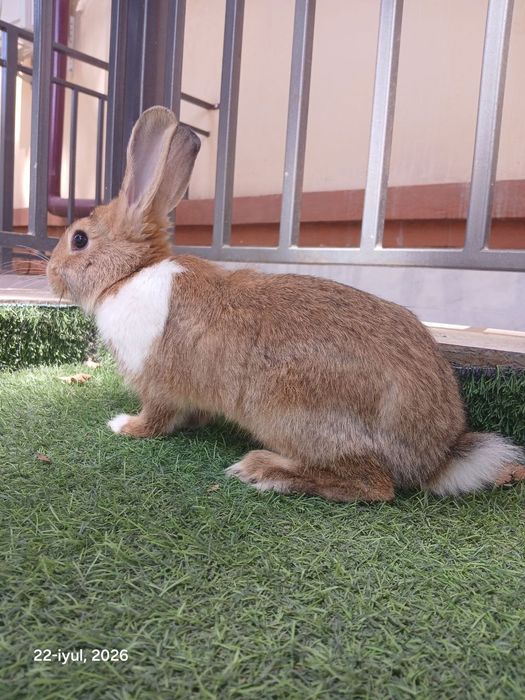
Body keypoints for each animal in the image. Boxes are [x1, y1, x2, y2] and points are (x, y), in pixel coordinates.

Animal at [47, 106, 525, 502]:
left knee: (374, 485)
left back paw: (265, 471)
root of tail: (435, 455)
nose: (49, 273)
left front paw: (123, 426)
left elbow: (156, 418)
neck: (128, 274)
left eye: (79, 239)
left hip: (285, 410)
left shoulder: (157, 384)